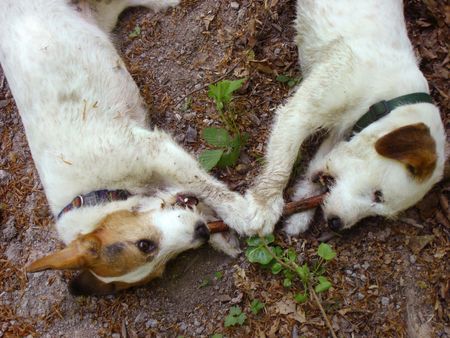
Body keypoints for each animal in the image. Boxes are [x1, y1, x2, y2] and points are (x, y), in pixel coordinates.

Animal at [0, 0, 244, 294]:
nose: (201, 232)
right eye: (161, 266)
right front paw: (222, 236)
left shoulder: (152, 150)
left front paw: (250, 215)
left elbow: (207, 187)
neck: (95, 194)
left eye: (143, 245)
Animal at [225, 0, 446, 236]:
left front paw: (300, 216)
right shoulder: (299, 114)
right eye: (378, 194)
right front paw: (264, 206)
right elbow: (281, 166)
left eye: (380, 212)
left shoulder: (341, 134)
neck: (386, 100)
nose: (336, 224)